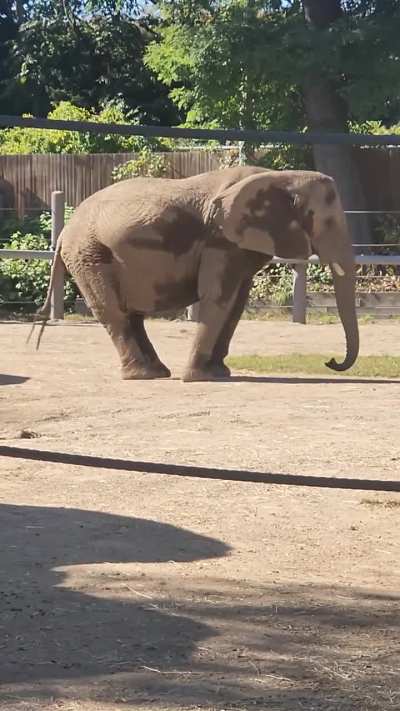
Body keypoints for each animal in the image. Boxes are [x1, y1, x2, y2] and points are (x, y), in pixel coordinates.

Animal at [36, 166, 359, 382]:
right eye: (327, 222)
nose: (330, 361)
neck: (282, 176)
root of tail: (64, 231)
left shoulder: (238, 245)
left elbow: (236, 304)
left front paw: (218, 373)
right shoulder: (220, 240)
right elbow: (217, 298)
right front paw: (198, 377)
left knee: (131, 314)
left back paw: (157, 372)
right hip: (89, 254)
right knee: (113, 311)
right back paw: (141, 375)